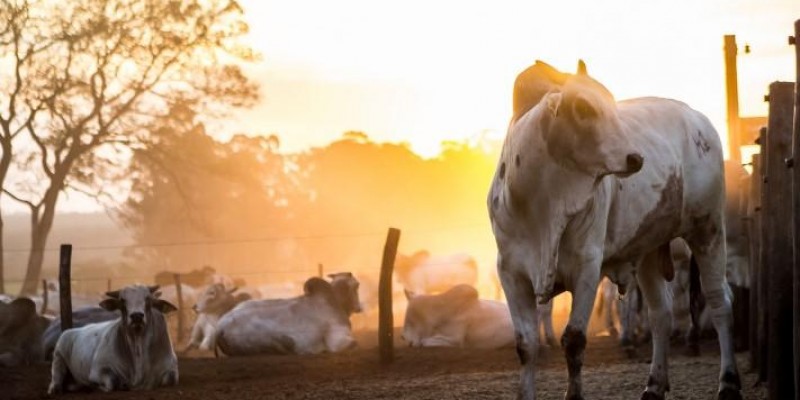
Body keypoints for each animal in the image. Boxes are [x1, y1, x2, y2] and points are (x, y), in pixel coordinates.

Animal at [48, 284, 178, 394]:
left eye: (148, 298)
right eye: (122, 300)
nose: (137, 316)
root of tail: (70, 331)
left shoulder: (172, 370)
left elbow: (170, 379)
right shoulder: (98, 370)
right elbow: (112, 382)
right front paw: (99, 387)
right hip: (58, 355)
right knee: (56, 376)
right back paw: (55, 388)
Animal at [214, 272, 360, 356]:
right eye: (357, 285)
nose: (359, 307)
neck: (334, 302)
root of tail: (220, 327)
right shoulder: (338, 340)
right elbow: (352, 344)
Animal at [488, 60, 744, 400]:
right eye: (583, 107)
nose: (635, 157)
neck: (541, 206)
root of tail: (697, 118)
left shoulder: (586, 266)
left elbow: (574, 339)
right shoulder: (510, 273)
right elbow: (526, 345)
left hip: (709, 230)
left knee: (719, 301)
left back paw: (728, 382)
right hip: (649, 250)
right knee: (660, 314)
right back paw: (654, 385)